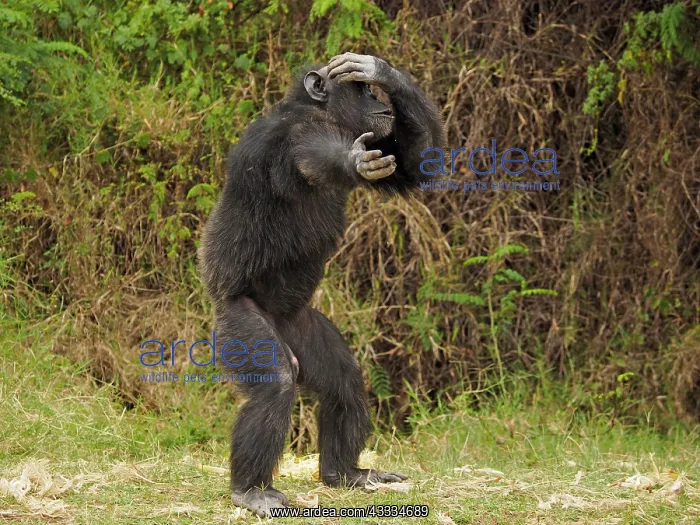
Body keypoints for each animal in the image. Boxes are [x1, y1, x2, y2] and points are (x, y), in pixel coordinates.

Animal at [198, 52, 444, 516]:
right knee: (276, 381)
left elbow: (417, 166)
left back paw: (346, 472)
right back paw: (251, 490)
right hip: (238, 321)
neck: (324, 114)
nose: (377, 97)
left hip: (299, 323)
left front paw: (380, 70)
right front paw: (354, 159)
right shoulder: (298, 141)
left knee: (343, 381)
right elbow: (318, 152)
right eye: (361, 93)